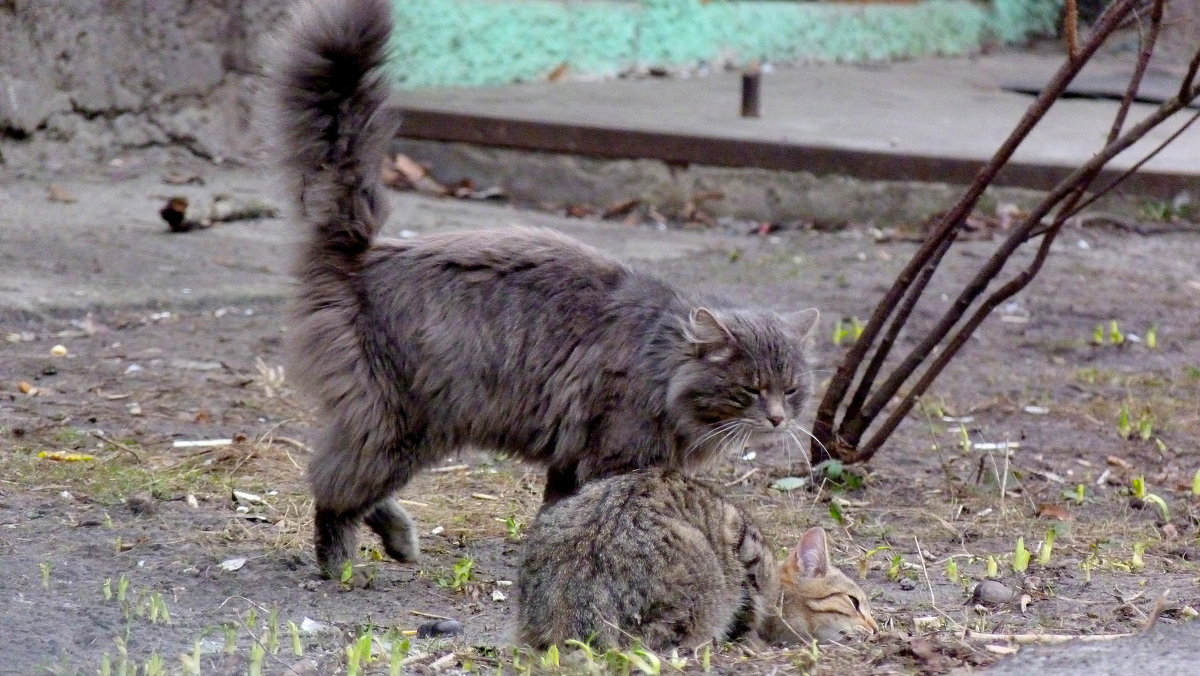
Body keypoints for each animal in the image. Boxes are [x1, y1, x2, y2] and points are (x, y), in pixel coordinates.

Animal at [268, 0, 820, 578]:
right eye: (750, 389)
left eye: (792, 390)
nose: (778, 418)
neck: (662, 363)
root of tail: (368, 253)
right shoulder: (613, 454)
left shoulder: (571, 460)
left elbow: (558, 512)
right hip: (401, 423)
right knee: (333, 484)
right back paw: (338, 566)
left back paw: (399, 540)